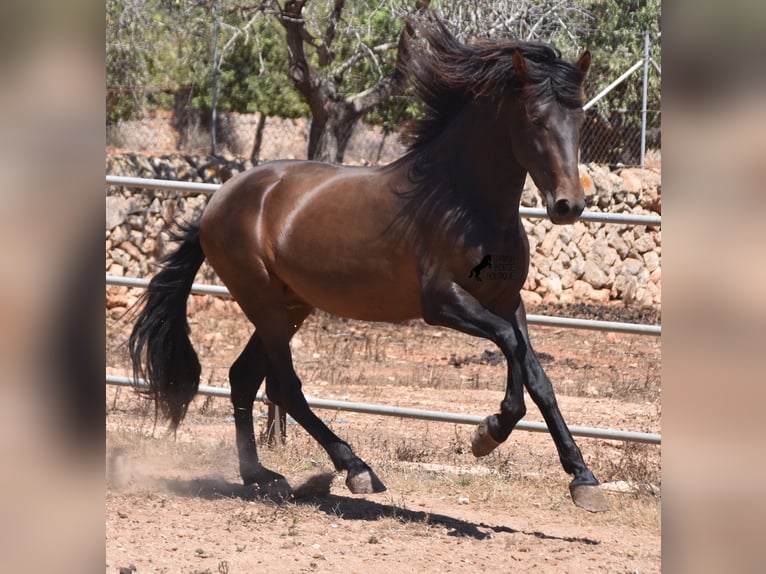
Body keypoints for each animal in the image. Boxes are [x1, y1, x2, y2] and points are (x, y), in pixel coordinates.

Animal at [132, 19, 612, 512]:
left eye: (579, 119)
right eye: (536, 118)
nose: (568, 205)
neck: (462, 203)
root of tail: (218, 199)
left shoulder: (507, 300)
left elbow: (538, 376)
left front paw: (582, 478)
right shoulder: (443, 303)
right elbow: (511, 348)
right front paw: (489, 432)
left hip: (291, 305)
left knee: (243, 377)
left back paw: (260, 475)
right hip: (262, 301)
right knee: (284, 387)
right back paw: (356, 469)